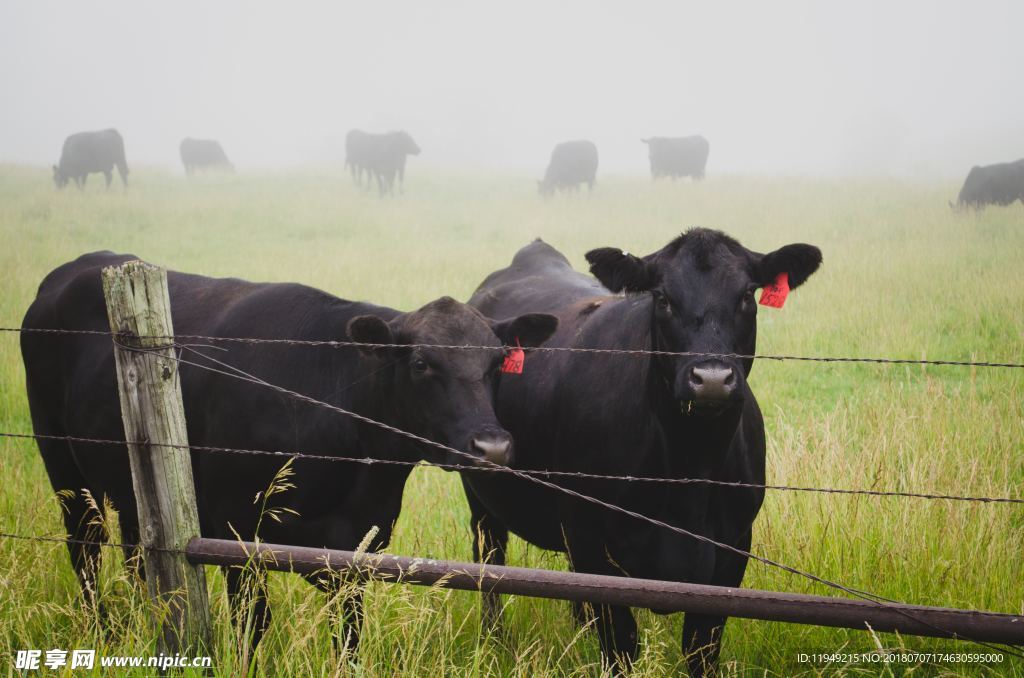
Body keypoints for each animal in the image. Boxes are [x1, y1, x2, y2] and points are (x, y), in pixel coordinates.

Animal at [19, 251, 557, 655]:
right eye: (422, 363)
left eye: (497, 364)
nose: (492, 446)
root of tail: (77, 268)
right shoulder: (235, 533)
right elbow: (253, 624)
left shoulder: (358, 548)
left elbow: (349, 635)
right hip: (61, 465)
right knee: (86, 549)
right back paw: (103, 631)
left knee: (136, 553)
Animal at [468, 231, 819, 675]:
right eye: (663, 298)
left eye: (746, 295)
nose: (712, 378)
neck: (690, 468)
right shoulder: (591, 543)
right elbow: (620, 643)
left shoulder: (734, 549)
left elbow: (701, 647)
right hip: (482, 496)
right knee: (489, 563)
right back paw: (492, 640)